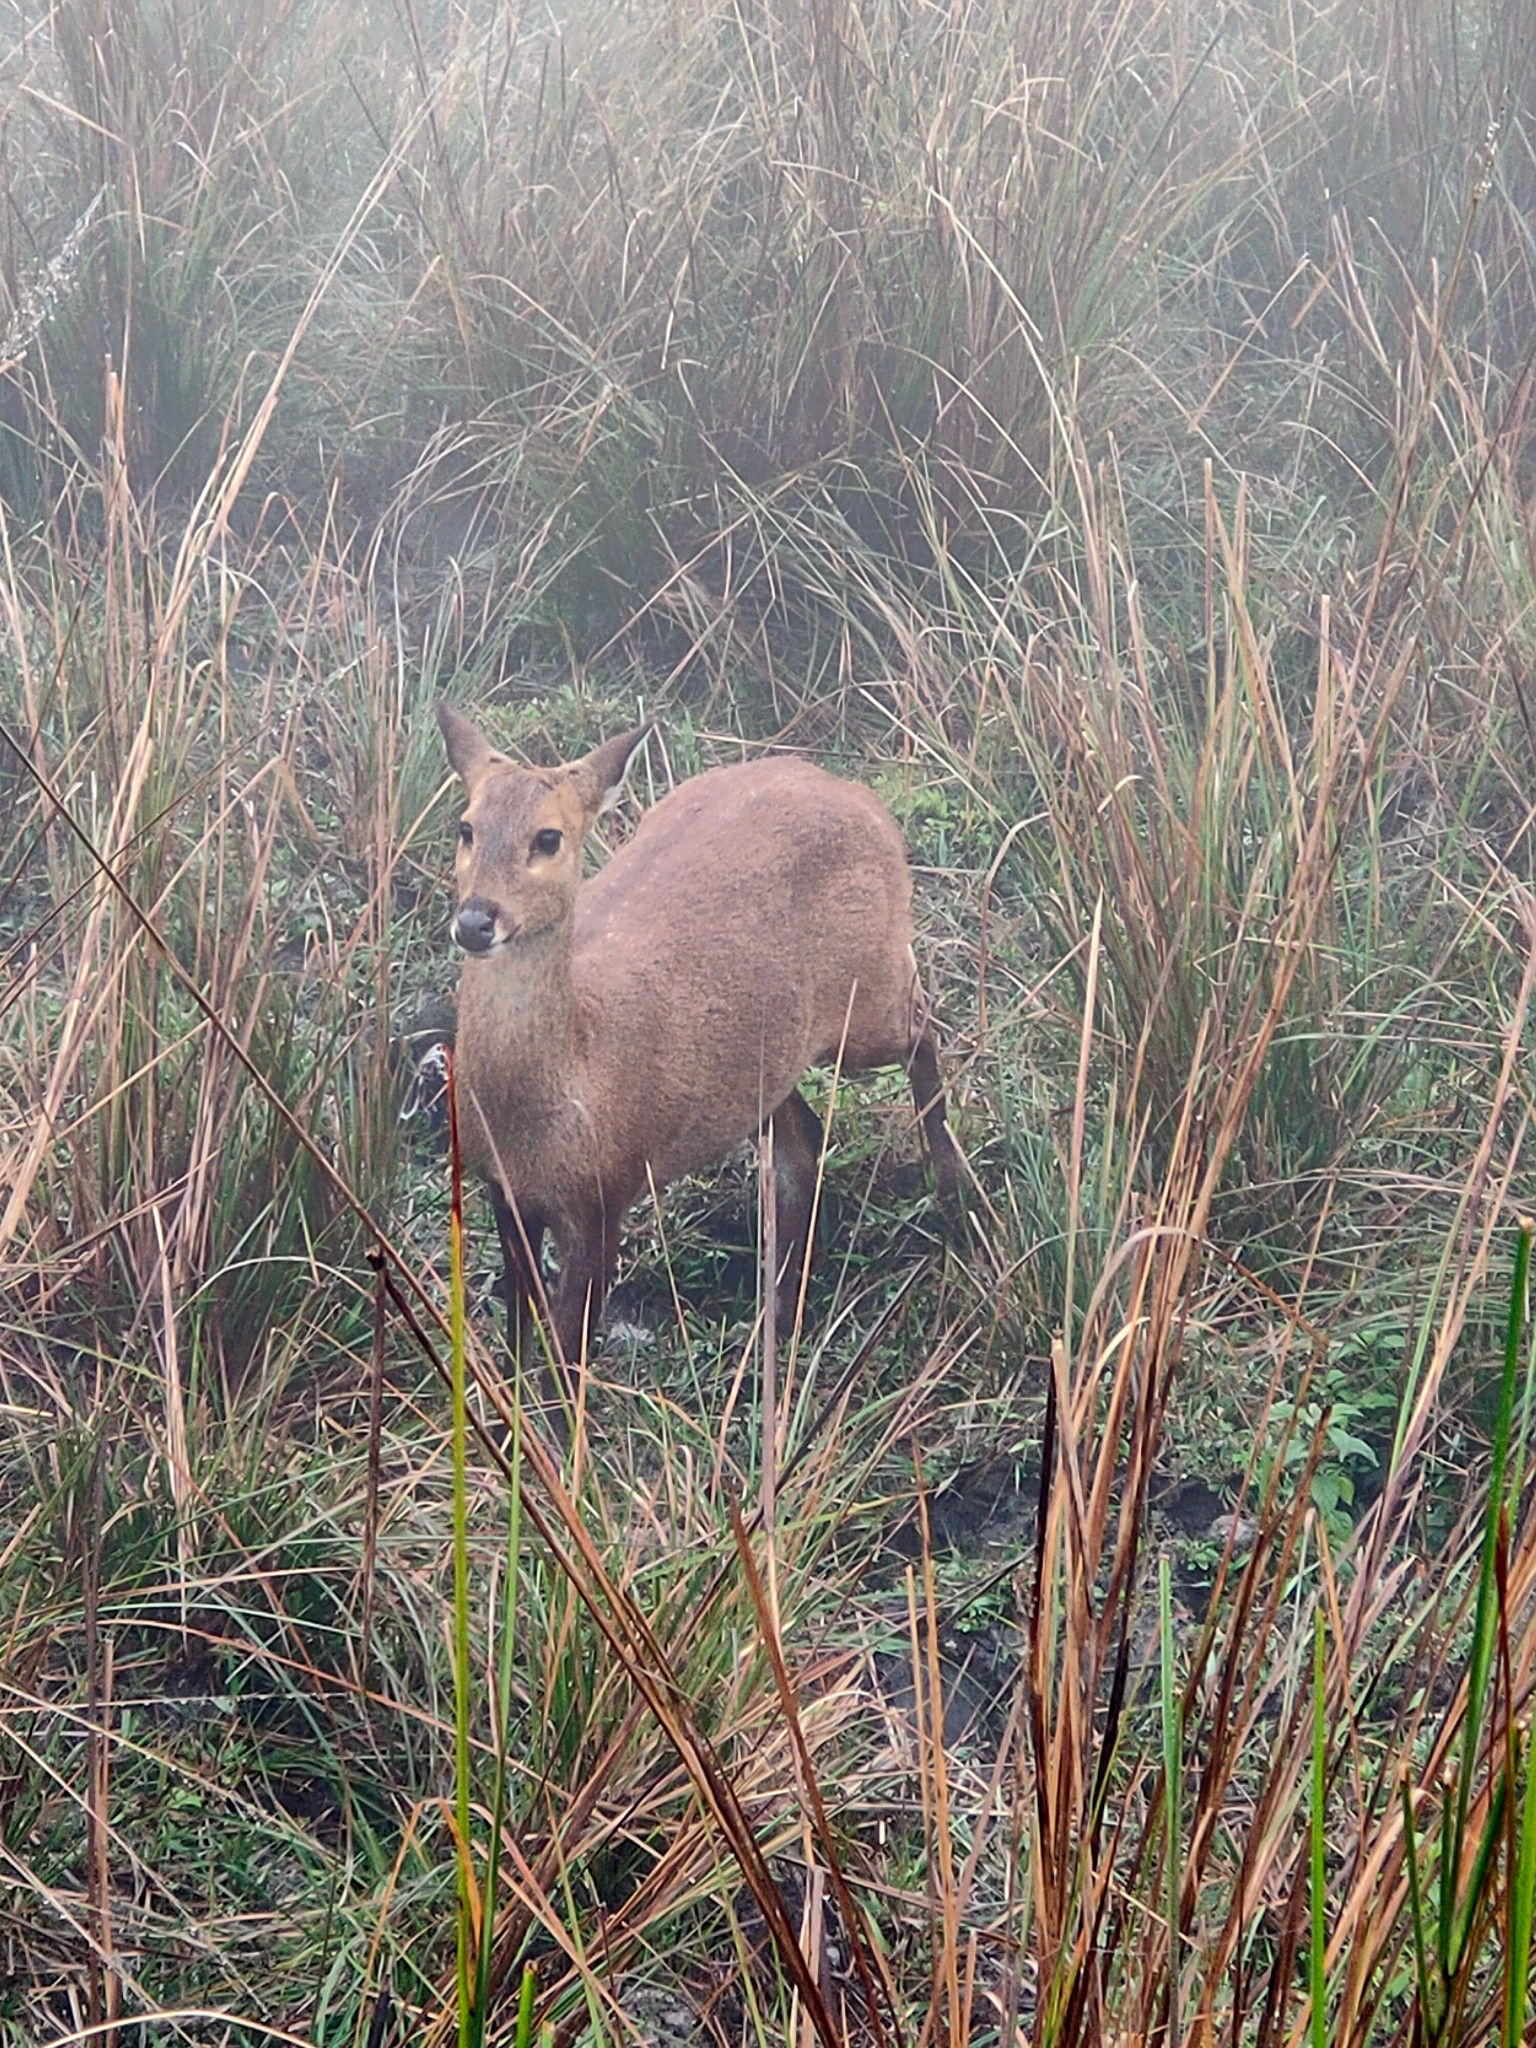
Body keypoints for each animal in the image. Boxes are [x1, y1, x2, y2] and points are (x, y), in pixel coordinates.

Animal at [436, 708, 962, 1409]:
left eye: (549, 837)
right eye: (466, 827)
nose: (475, 922)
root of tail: (863, 798)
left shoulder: (607, 1194)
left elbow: (567, 1360)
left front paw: (561, 1436)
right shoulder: (504, 1192)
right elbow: (522, 1338)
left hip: (866, 993)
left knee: (924, 1032)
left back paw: (955, 1201)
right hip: (762, 1066)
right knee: (800, 1142)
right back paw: (772, 1325)